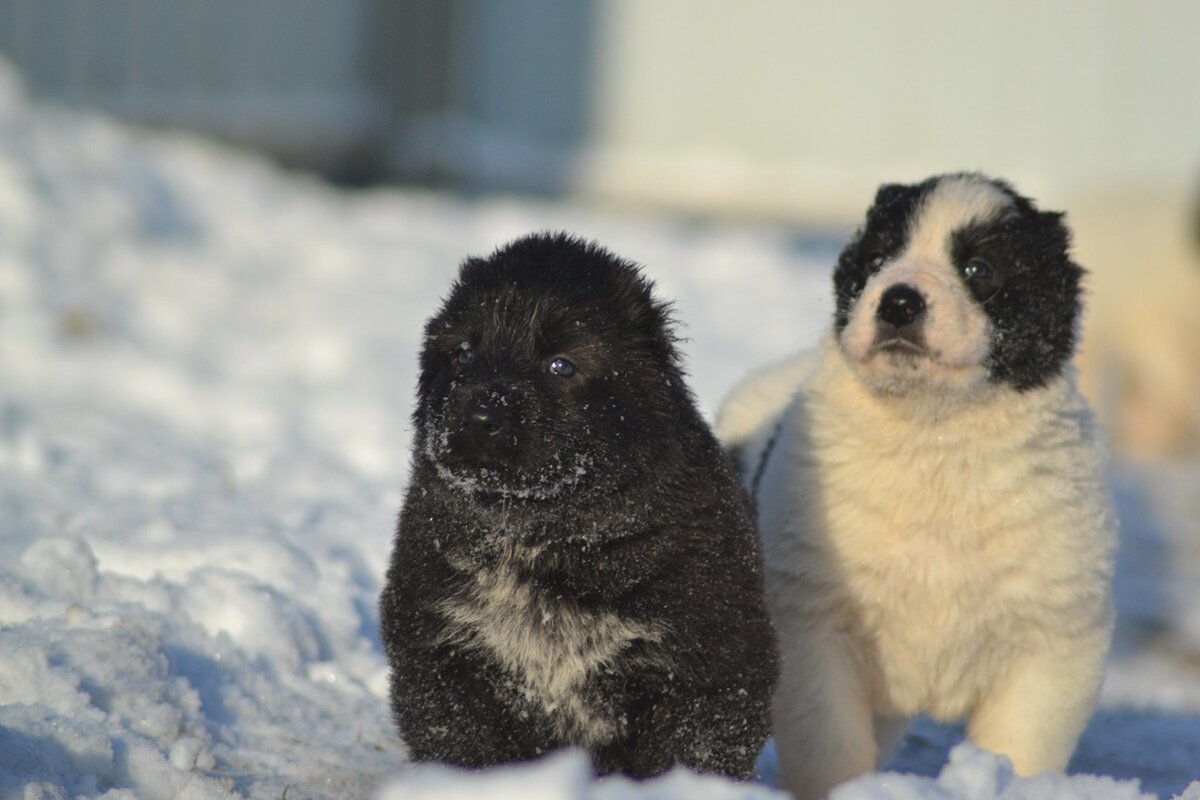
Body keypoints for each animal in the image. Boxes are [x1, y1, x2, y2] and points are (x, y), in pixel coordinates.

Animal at [381, 232, 777, 782]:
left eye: (560, 365)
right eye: (463, 352)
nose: (482, 411)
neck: (542, 536)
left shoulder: (710, 666)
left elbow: (686, 750)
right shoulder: (441, 649)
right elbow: (463, 743)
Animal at [710, 175, 1113, 800]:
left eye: (977, 269)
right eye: (877, 258)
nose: (899, 300)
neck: (934, 437)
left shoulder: (1051, 639)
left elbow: (1019, 747)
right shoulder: (812, 626)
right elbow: (831, 745)